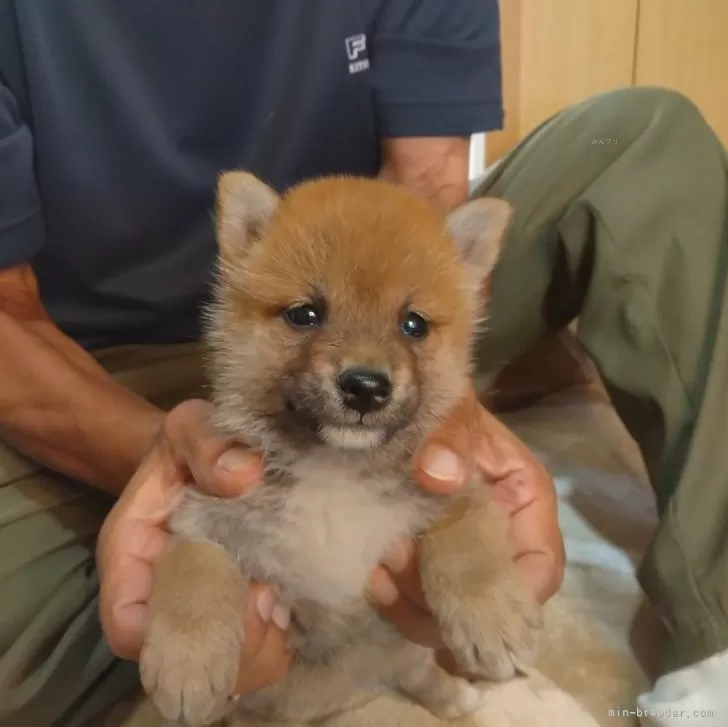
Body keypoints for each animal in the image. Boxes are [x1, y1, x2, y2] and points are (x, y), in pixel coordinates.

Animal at [139, 173, 544, 724]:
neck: (336, 472)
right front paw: (185, 664)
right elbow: (193, 575)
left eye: (413, 324)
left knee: (420, 674)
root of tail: (355, 690)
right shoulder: (208, 515)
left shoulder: (453, 487)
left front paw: (494, 618)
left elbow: (467, 542)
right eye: (305, 315)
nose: (366, 386)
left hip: (403, 655)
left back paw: (456, 696)